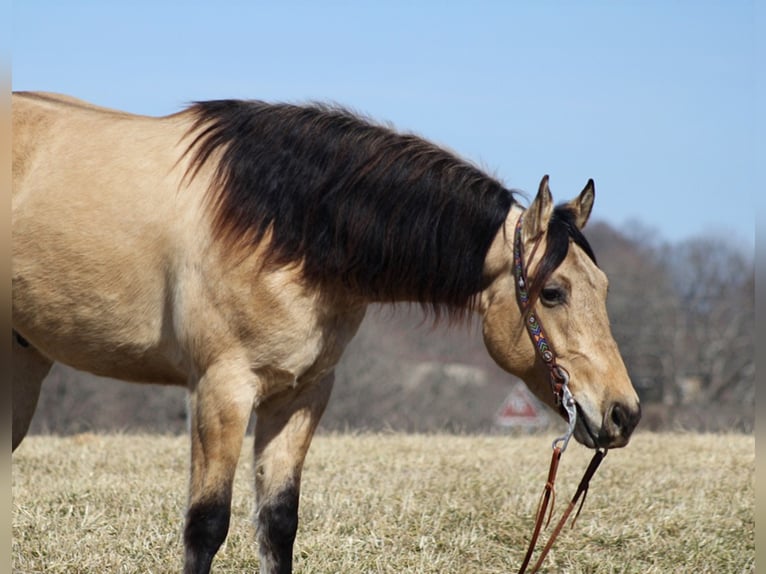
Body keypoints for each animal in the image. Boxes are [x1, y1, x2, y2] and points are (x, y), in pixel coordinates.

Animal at [13, 92, 640, 574]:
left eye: (606, 286)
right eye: (553, 292)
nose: (623, 413)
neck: (280, 225)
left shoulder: (301, 393)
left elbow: (278, 525)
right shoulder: (220, 390)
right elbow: (205, 527)